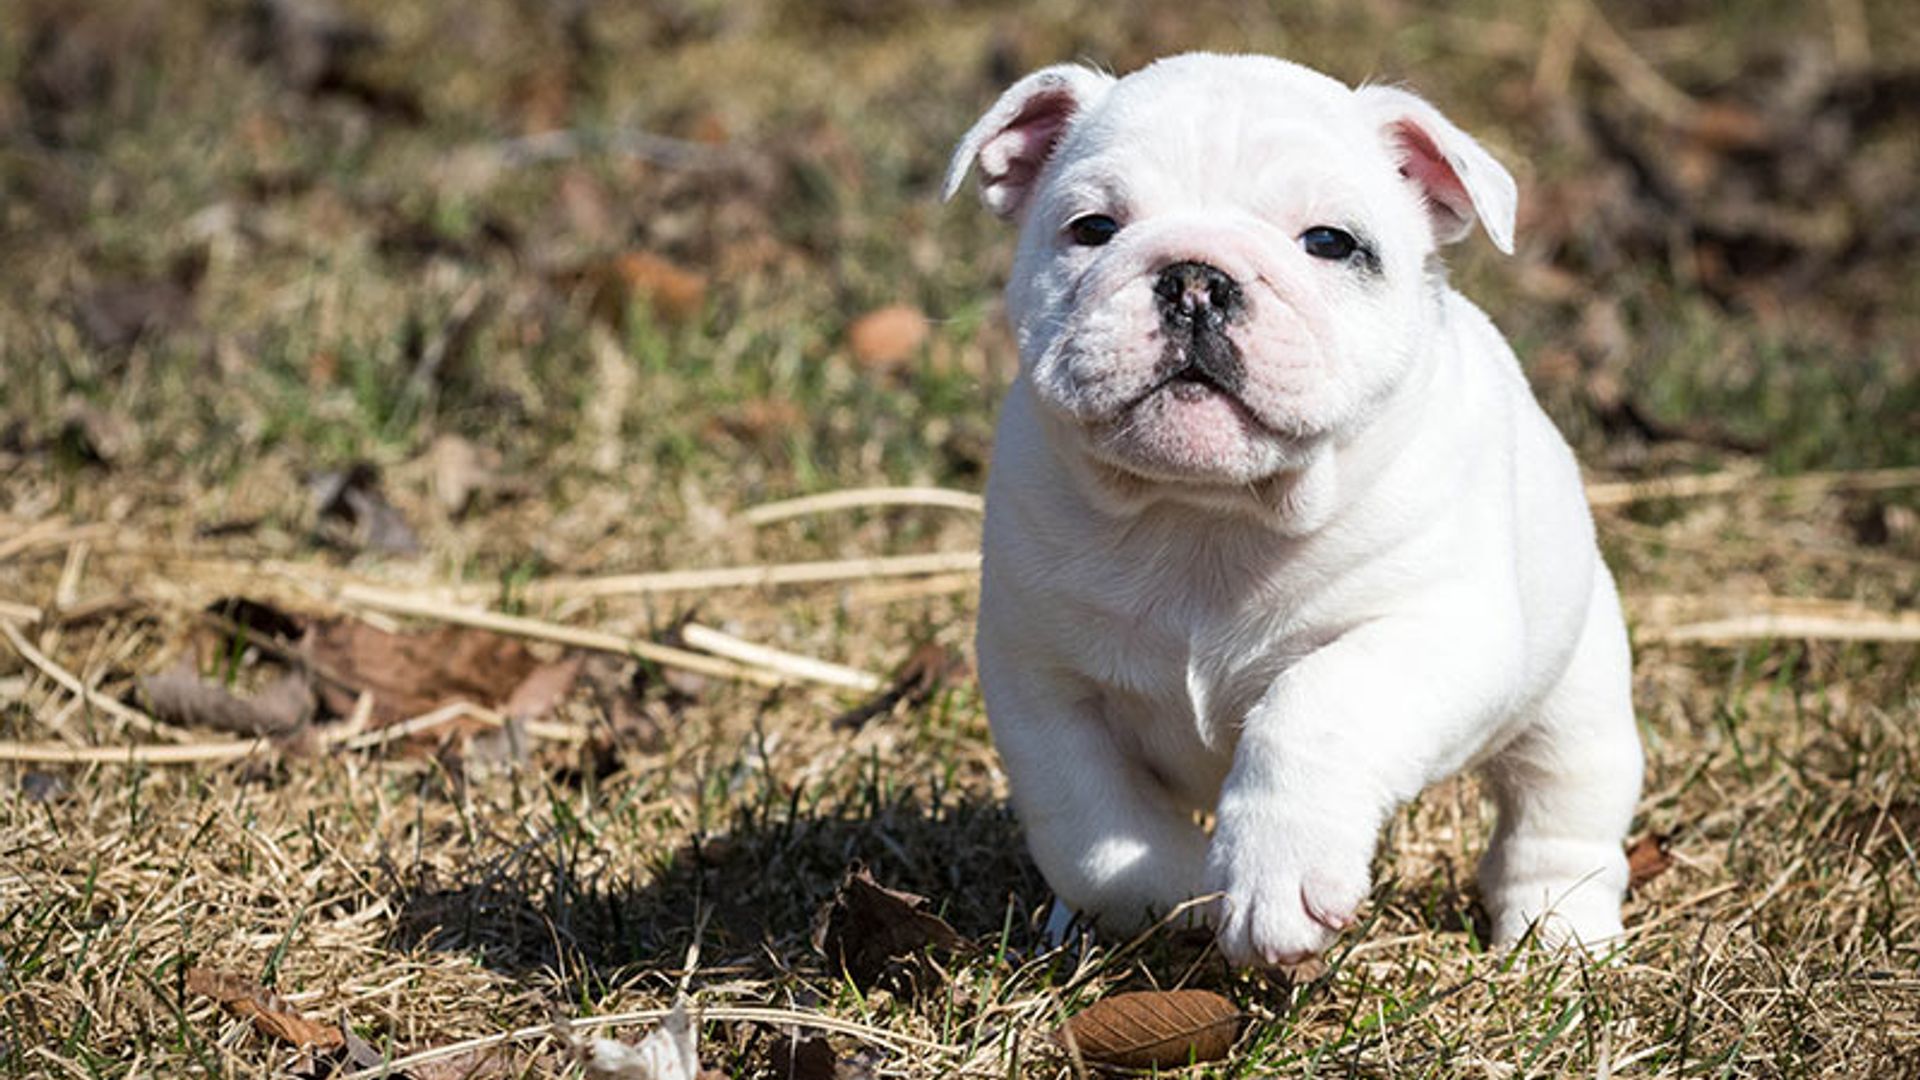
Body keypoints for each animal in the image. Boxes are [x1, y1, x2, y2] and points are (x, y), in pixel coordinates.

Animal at [952, 50, 1643, 960]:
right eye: (1093, 228)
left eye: (1329, 243)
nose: (1195, 278)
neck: (1209, 513)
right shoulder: (1041, 680)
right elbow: (1089, 823)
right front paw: (1165, 892)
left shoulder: (1433, 629)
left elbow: (1316, 705)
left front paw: (1275, 878)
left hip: (1577, 694)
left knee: (1560, 807)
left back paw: (1558, 935)